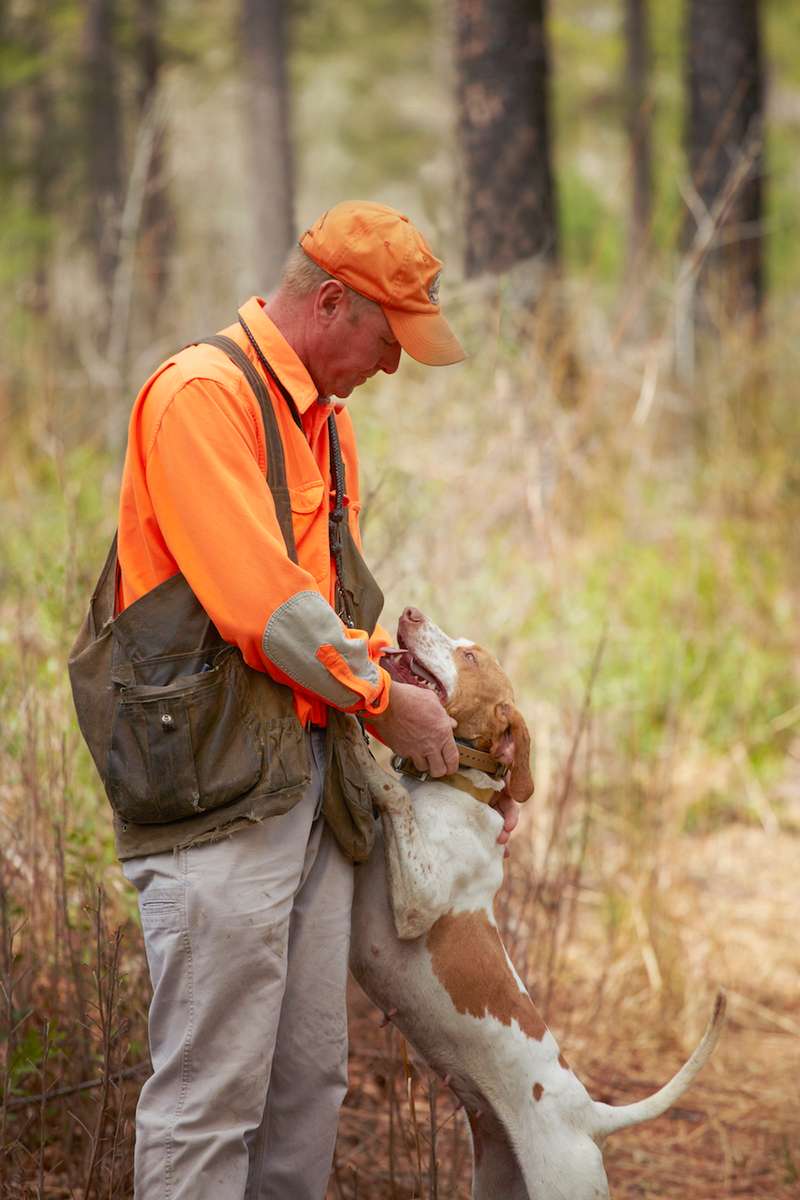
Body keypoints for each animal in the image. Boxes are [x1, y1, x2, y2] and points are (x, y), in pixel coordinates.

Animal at [350, 609, 724, 1200]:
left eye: (469, 656)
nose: (408, 613)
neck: (454, 786)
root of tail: (590, 1115)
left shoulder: (418, 903)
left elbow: (391, 790)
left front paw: (355, 743)